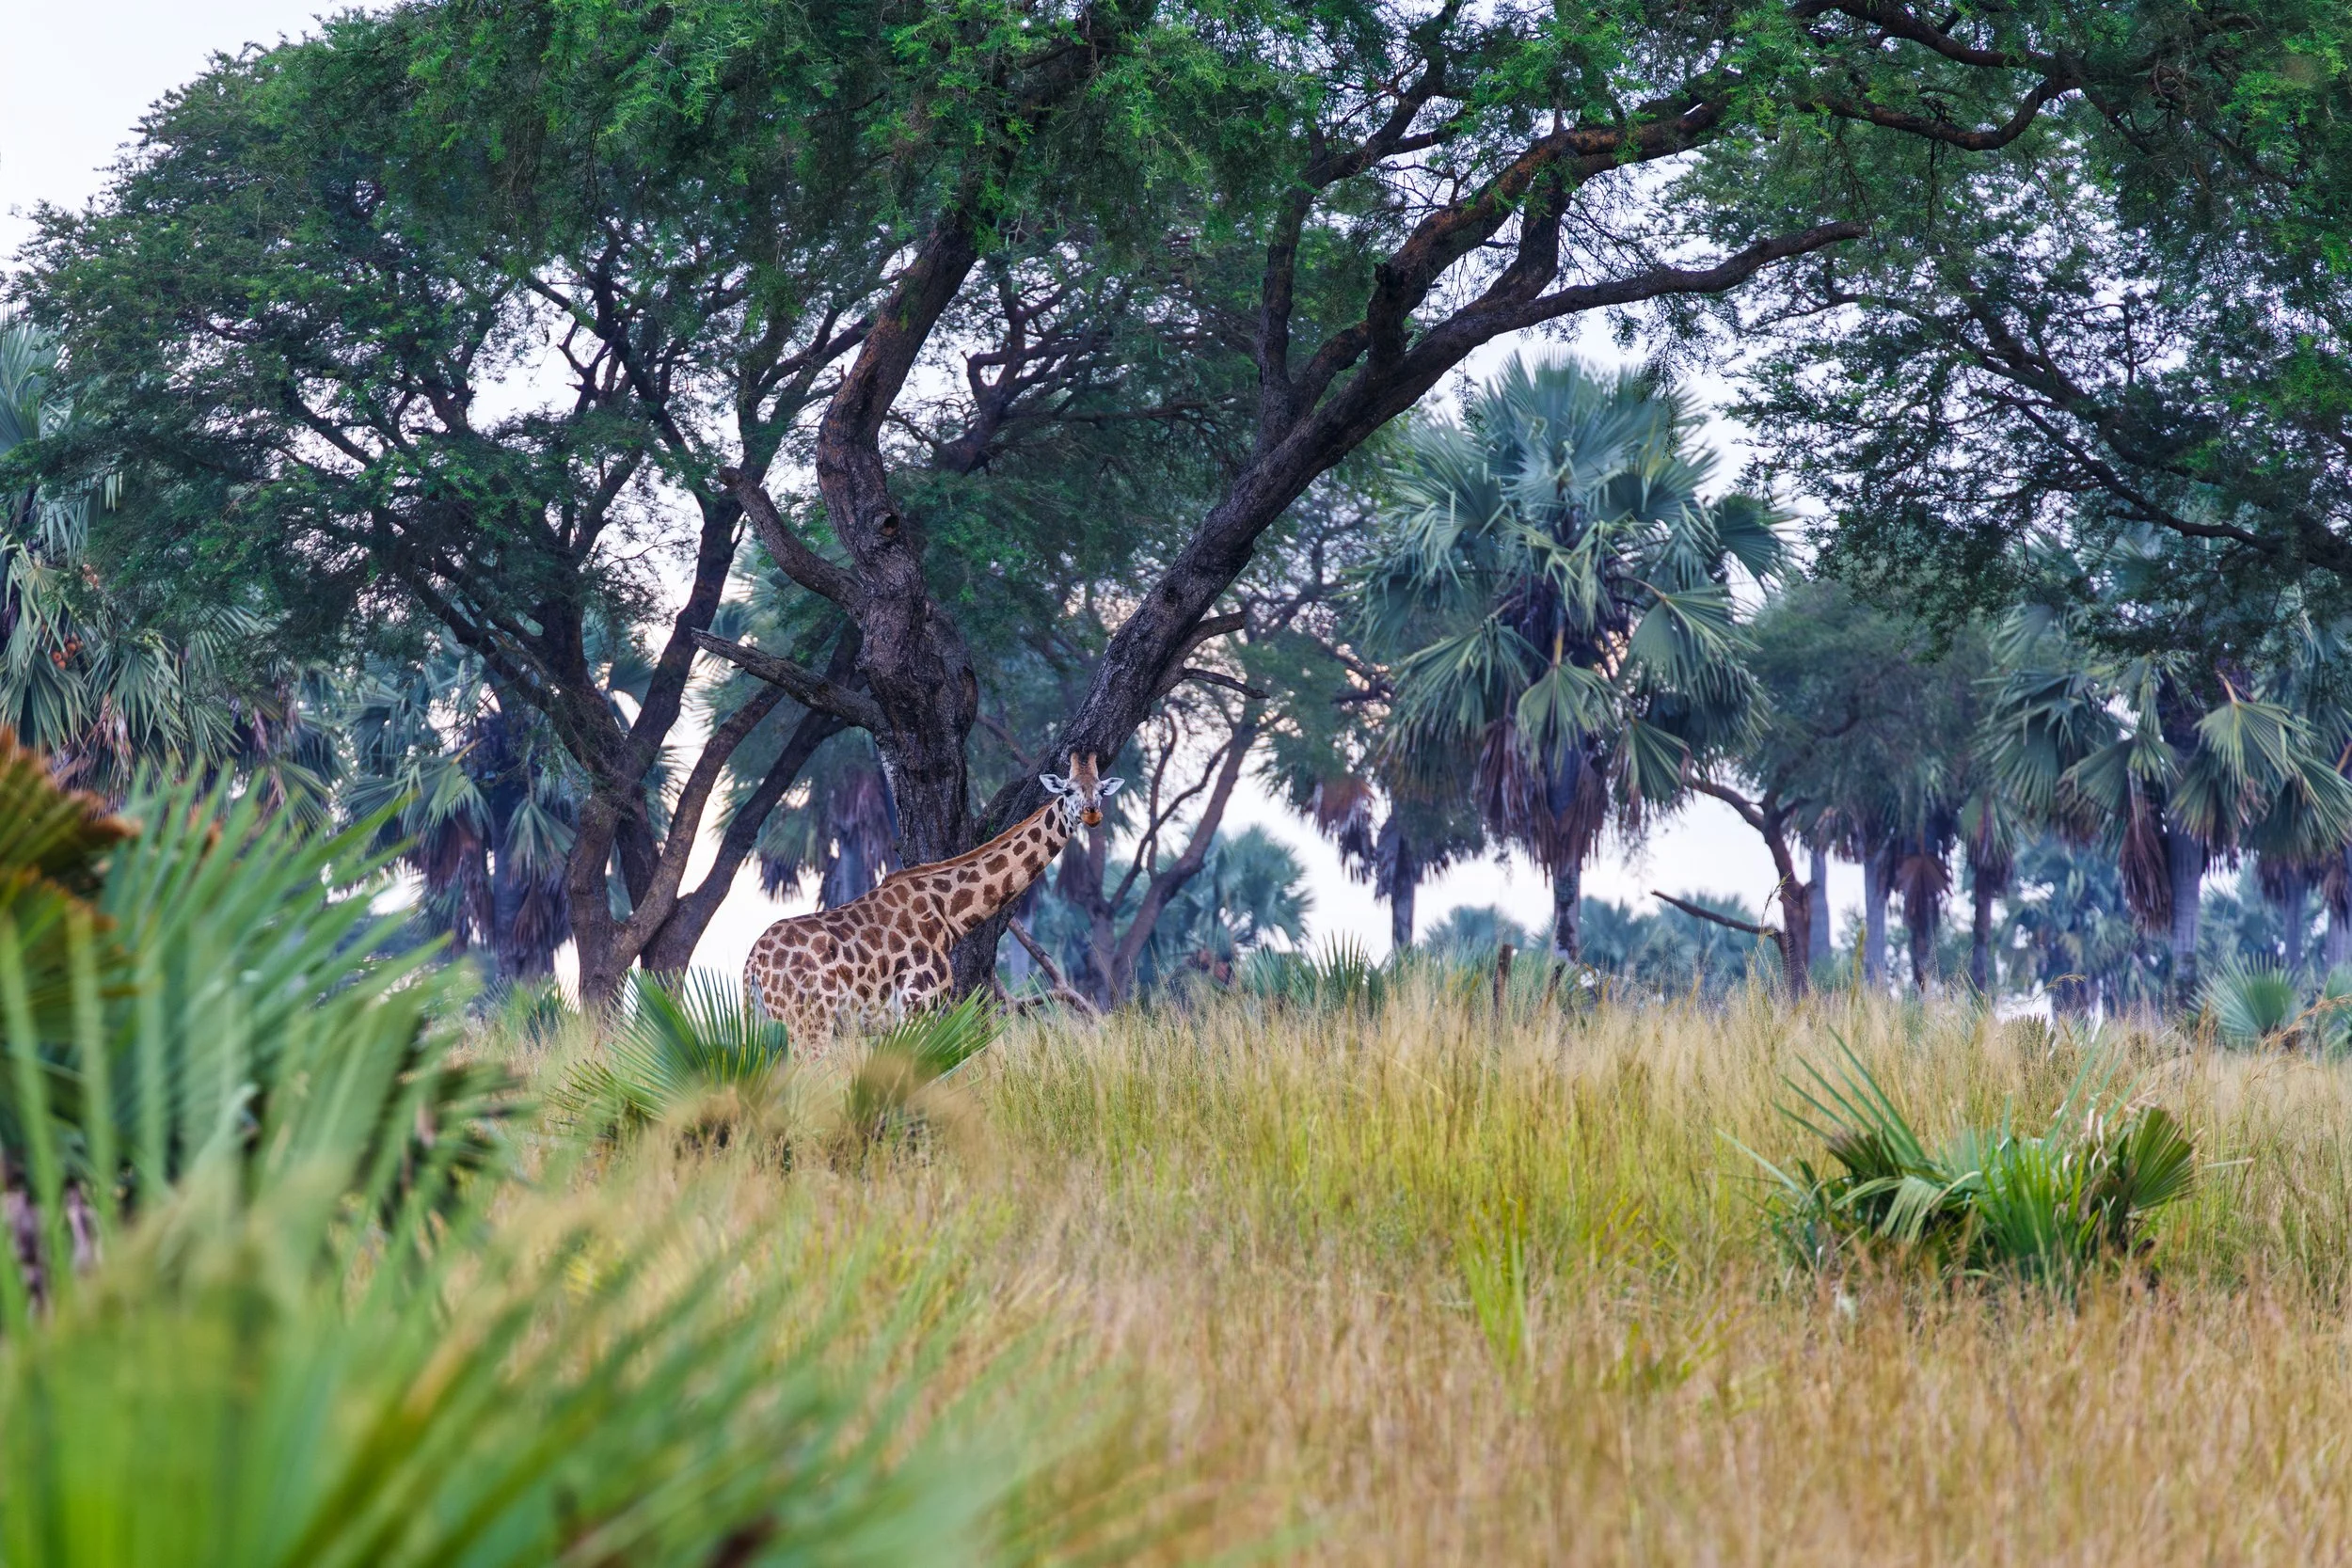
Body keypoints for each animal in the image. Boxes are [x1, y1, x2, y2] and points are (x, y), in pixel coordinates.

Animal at [743, 753, 1122, 1052]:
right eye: (1068, 790)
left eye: (1101, 790)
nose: (1092, 815)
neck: (949, 912)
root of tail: (753, 964)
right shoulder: (917, 1005)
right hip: (808, 1022)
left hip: (769, 1025)